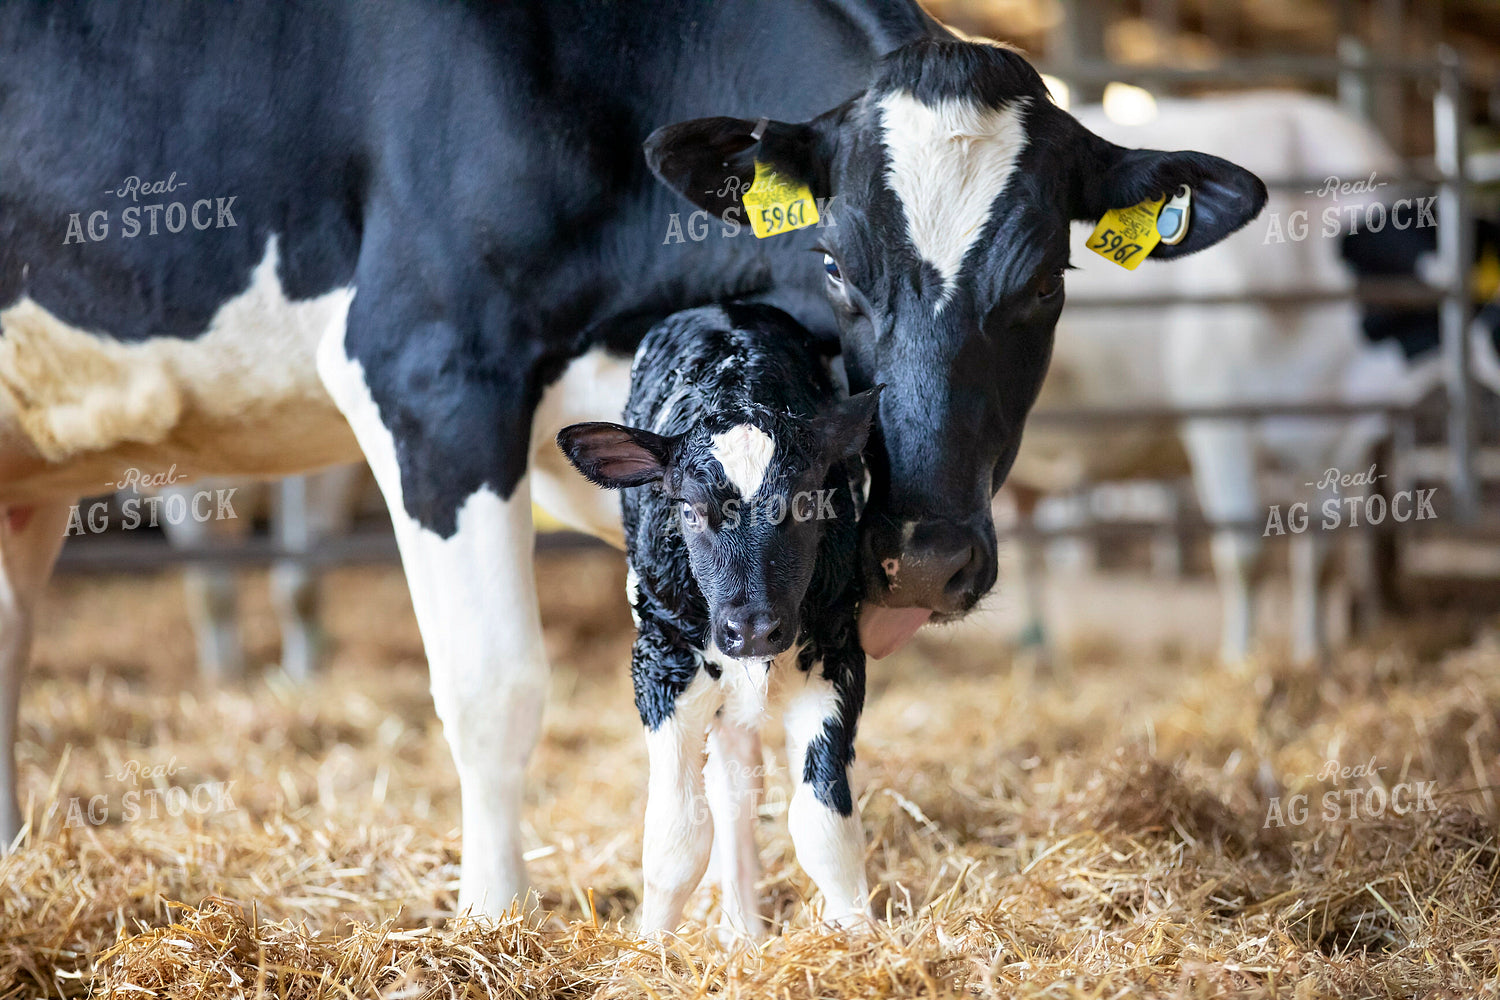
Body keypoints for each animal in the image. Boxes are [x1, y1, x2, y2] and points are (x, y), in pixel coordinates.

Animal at [558, 303, 879, 936]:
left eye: (806, 503)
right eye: (688, 509)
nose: (752, 628)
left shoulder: (837, 657)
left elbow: (824, 828)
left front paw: (863, 939)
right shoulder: (660, 664)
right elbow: (677, 837)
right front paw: (651, 946)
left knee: (736, 788)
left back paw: (742, 930)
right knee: (728, 793)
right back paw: (740, 931)